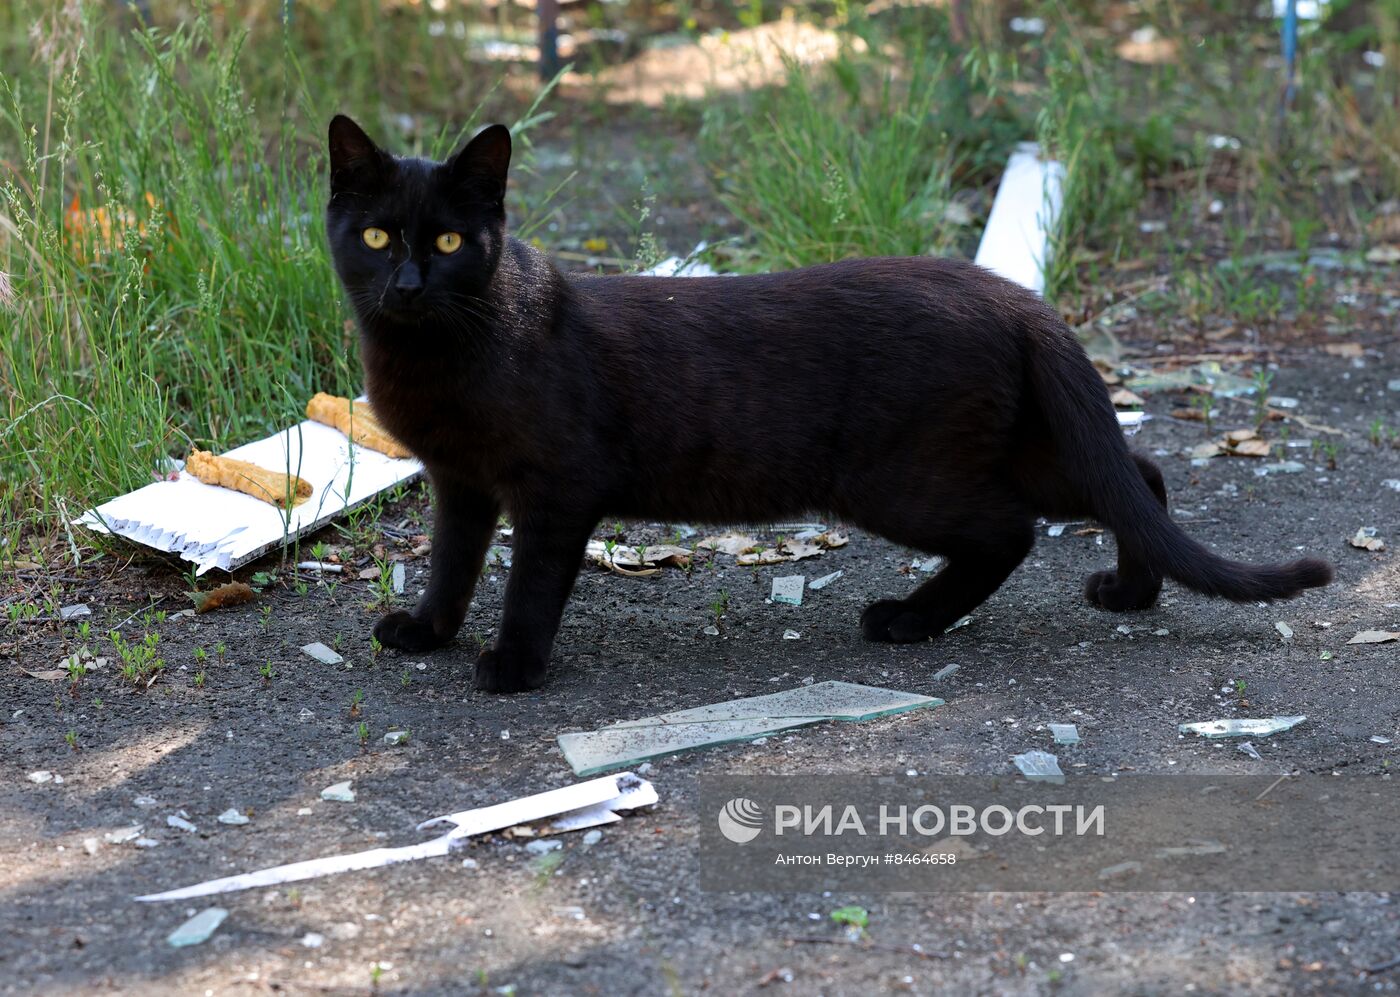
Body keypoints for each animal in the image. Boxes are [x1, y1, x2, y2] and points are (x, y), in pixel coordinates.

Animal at [327, 116, 1332, 688]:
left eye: (449, 241)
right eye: (376, 236)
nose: (408, 284)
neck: (437, 352)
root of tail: (1014, 295)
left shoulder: (557, 490)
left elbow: (530, 583)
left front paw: (513, 667)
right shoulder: (460, 481)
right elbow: (452, 562)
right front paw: (428, 632)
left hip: (900, 478)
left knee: (1011, 530)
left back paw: (909, 619)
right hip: (1008, 446)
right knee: (1136, 476)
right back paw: (1127, 591)